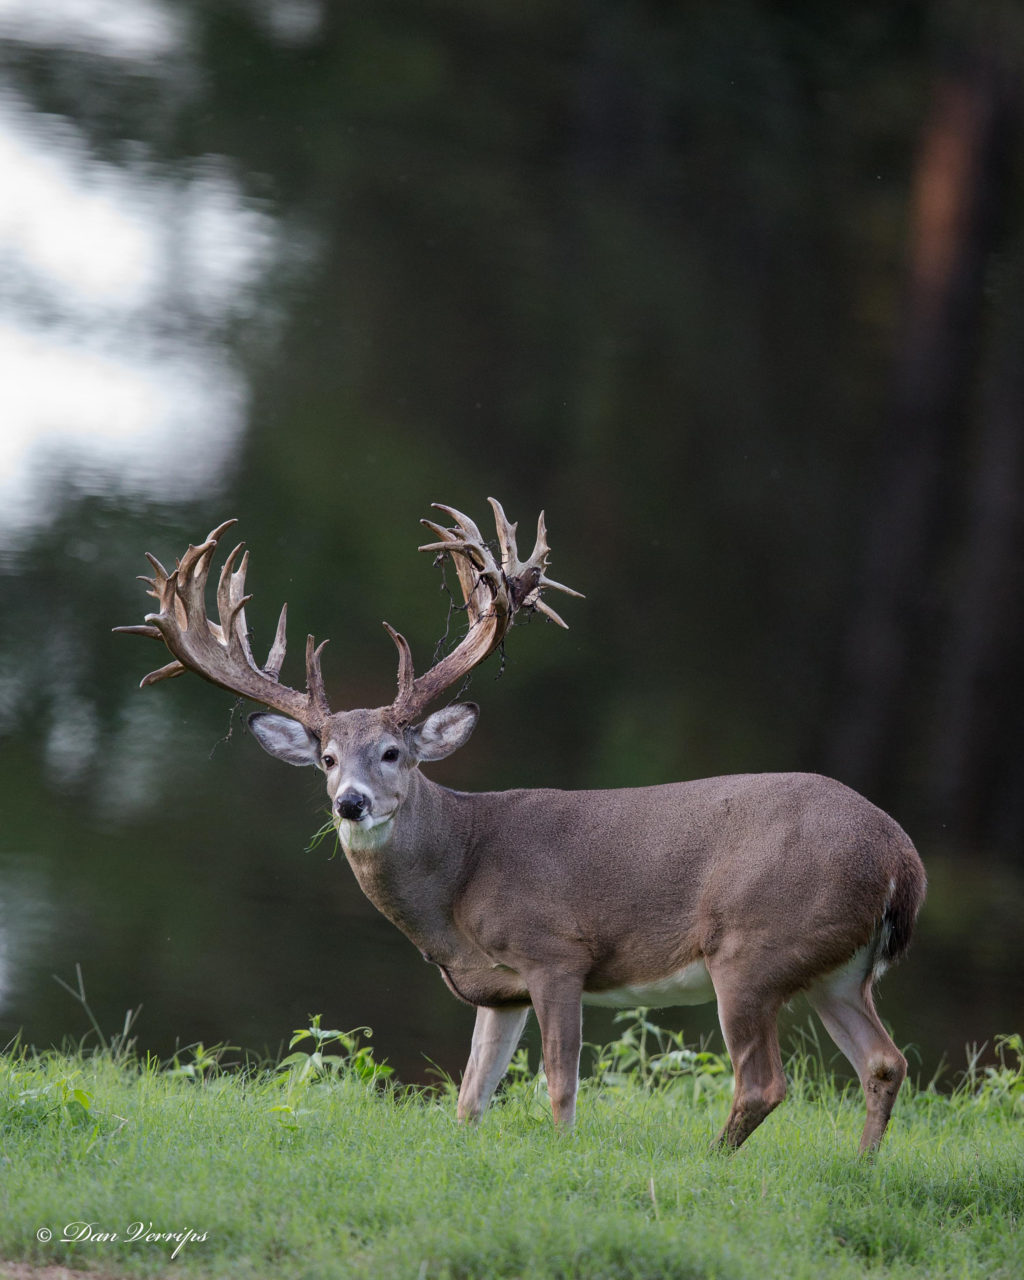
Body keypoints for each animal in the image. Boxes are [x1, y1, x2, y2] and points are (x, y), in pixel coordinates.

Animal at [117, 496, 926, 1152]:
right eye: (324, 757)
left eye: (393, 752)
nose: (351, 802)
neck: (460, 874)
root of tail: (901, 859)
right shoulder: (496, 987)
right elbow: (471, 1096)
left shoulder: (555, 952)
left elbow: (560, 1085)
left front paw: (562, 1155)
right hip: (835, 971)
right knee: (884, 1061)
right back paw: (861, 1168)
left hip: (751, 949)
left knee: (763, 1082)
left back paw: (712, 1164)